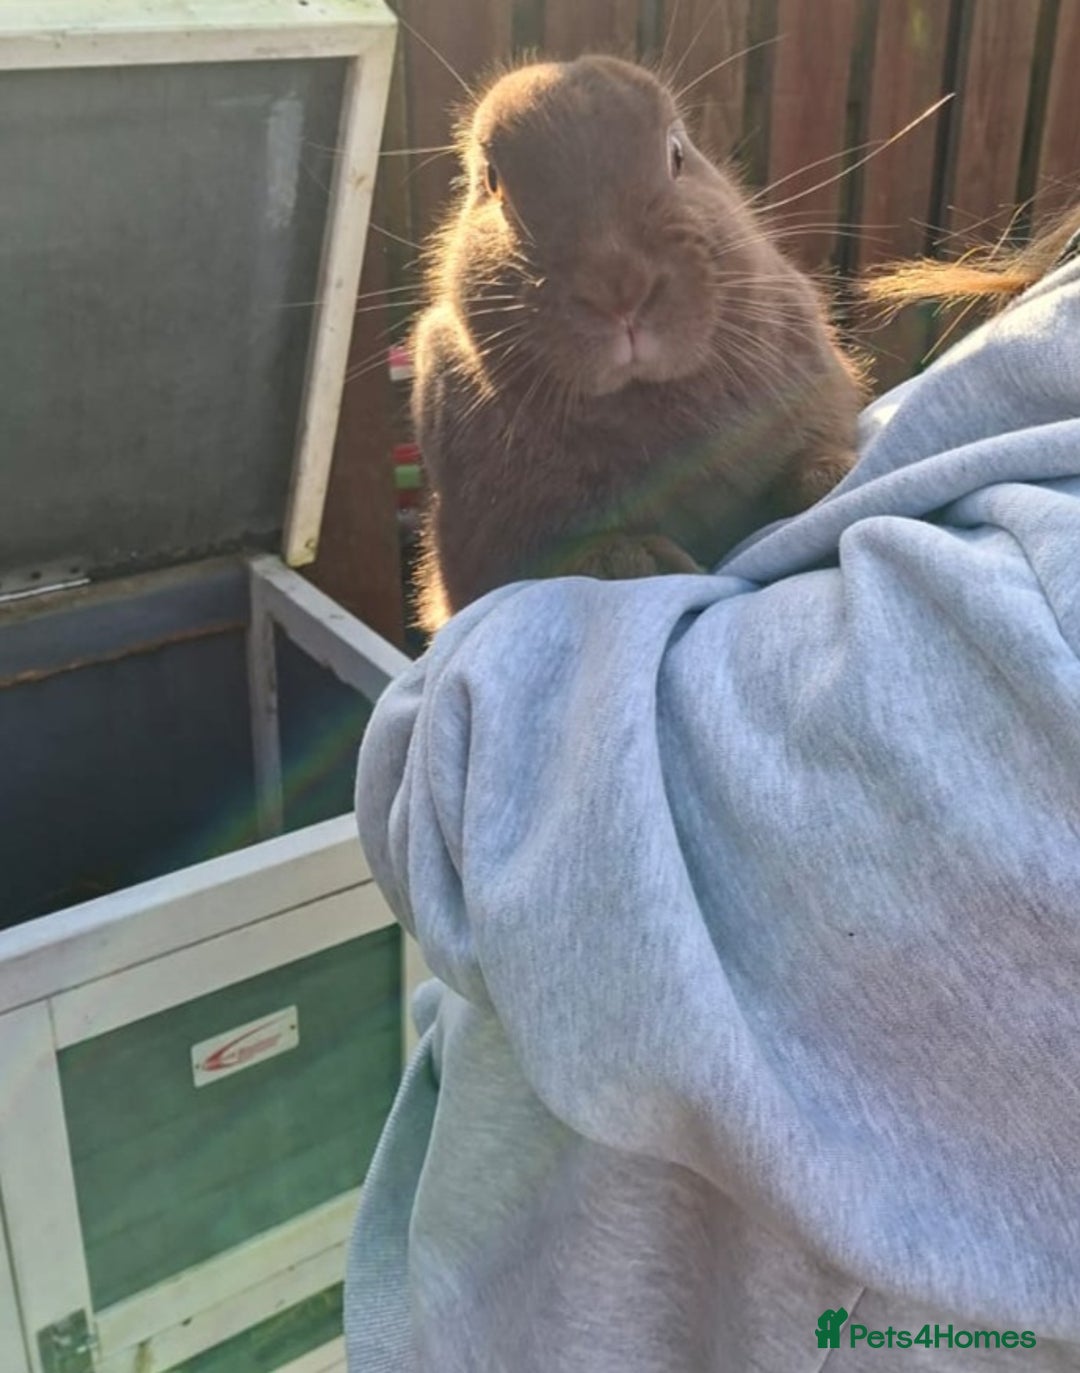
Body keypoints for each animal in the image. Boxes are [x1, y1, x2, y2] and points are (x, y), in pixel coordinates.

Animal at [410, 54, 863, 631]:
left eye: (676, 155)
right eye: (494, 182)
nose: (619, 288)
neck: (640, 396)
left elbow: (810, 460)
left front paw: (832, 479)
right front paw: (641, 560)